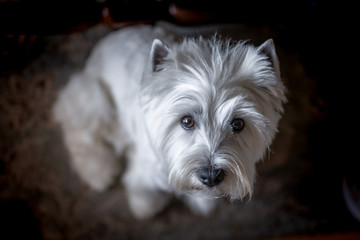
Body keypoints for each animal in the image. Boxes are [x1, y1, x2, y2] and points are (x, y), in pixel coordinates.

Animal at [52, 23, 286, 219]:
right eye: (187, 121)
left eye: (238, 124)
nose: (210, 177)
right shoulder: (143, 172)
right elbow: (145, 199)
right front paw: (145, 205)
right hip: (93, 98)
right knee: (78, 131)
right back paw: (98, 172)